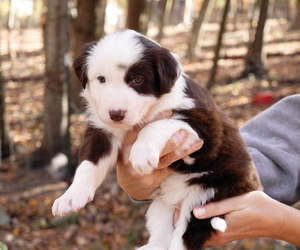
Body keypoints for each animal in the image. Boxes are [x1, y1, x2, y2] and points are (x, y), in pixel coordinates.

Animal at [52, 29, 262, 250]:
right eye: (101, 79)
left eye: (137, 80)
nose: (116, 114)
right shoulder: (102, 131)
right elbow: (88, 163)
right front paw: (71, 196)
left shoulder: (206, 131)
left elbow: (157, 124)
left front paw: (141, 154)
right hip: (161, 206)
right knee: (162, 235)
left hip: (206, 199)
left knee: (185, 237)